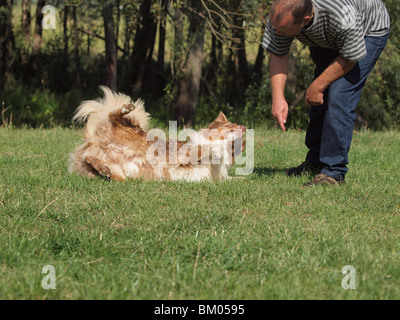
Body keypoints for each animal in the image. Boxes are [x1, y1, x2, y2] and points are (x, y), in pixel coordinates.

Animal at [68, 86, 247, 181]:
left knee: (99, 167)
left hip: (120, 173)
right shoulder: (185, 154)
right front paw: (215, 149)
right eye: (231, 125)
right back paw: (126, 108)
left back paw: (101, 167)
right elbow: (206, 149)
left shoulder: (218, 177)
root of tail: (93, 141)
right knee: (113, 115)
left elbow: (236, 178)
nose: (244, 126)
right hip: (126, 126)